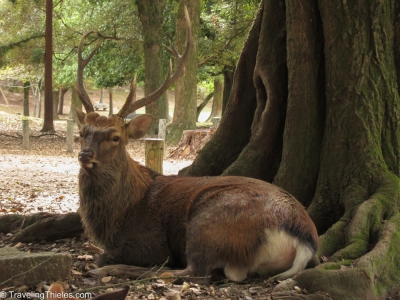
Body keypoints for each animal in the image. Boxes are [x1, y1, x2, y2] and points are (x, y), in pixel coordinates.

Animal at [74, 6, 318, 284]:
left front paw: (101, 262)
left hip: (209, 221)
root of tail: (305, 238)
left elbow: (111, 255)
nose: (85, 155)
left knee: (193, 271)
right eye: (82, 132)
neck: (119, 215)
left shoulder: (149, 241)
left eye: (115, 137)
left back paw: (110, 270)